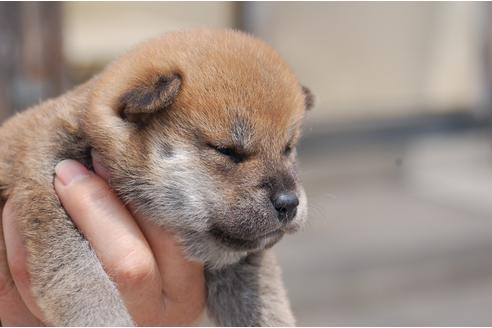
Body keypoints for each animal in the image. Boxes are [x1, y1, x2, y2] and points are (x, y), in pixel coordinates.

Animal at [0, 28, 314, 326]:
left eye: (288, 148)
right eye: (227, 151)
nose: (289, 202)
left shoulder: (244, 265)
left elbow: (267, 302)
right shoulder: (47, 193)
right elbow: (81, 276)